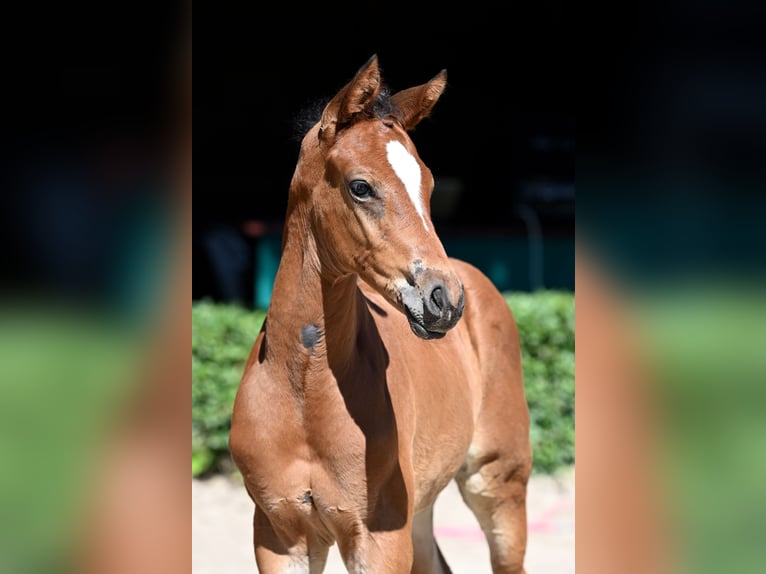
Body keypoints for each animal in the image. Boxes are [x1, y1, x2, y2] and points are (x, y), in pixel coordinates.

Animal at [230, 55, 536, 574]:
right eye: (360, 186)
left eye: (428, 185)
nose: (445, 300)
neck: (304, 394)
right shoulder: (277, 534)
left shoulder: (379, 538)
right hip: (422, 506)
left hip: (498, 483)